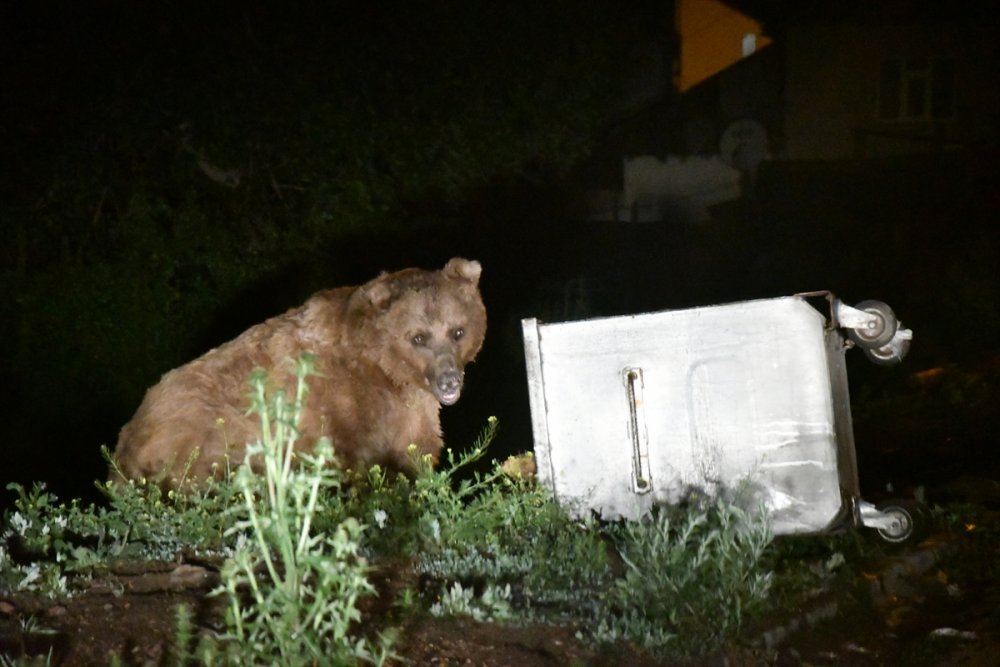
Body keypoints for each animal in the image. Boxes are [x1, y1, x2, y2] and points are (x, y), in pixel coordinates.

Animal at [109, 258, 484, 488]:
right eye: (418, 336)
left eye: (458, 330)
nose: (449, 380)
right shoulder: (344, 404)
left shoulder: (408, 411)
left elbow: (415, 452)